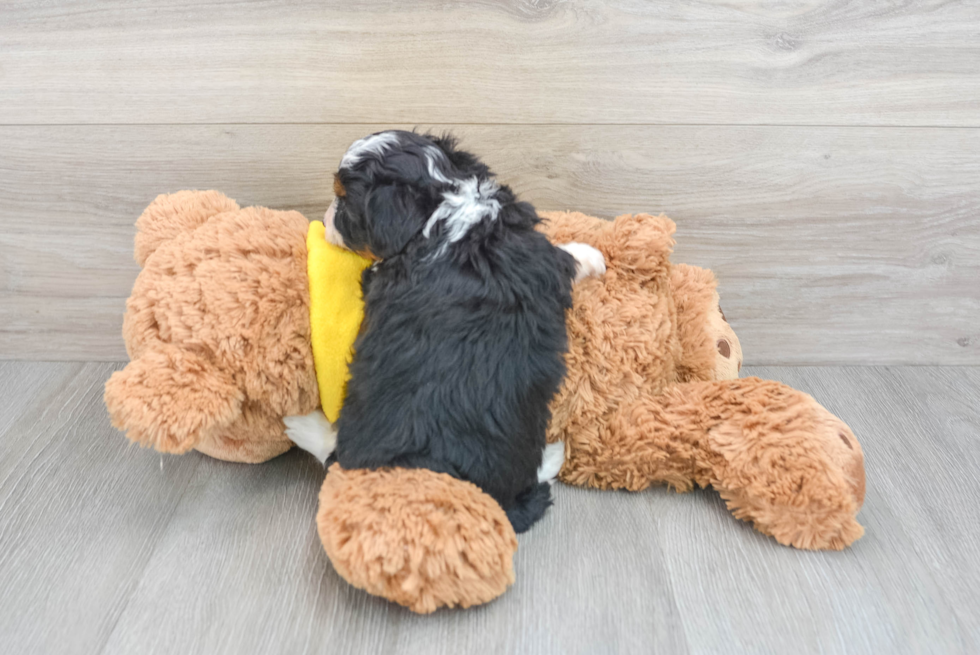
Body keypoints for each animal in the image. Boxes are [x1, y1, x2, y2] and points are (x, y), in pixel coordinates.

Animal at [316, 131, 604, 536]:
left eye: (343, 201)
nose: (325, 218)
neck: (441, 207)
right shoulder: (538, 257)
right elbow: (565, 256)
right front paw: (592, 255)